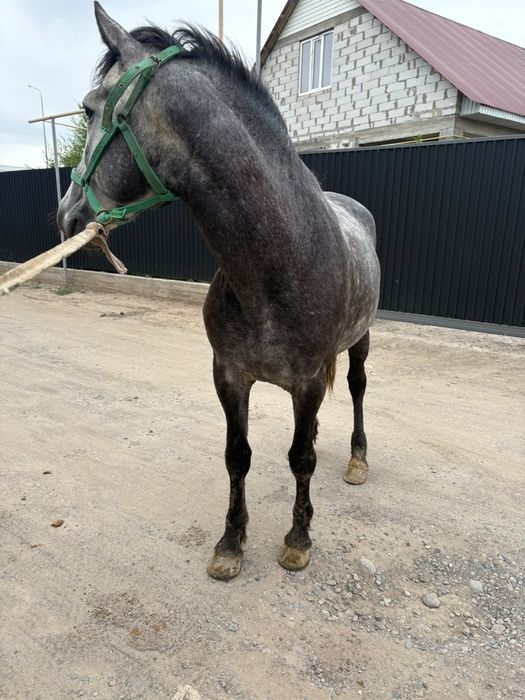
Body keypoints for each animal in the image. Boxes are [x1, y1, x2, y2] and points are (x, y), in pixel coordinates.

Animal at [57, 3, 380, 581]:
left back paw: (358, 458)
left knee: (359, 389)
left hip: (361, 341)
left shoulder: (307, 383)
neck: (277, 267)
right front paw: (231, 542)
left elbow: (300, 459)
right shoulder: (229, 375)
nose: (66, 214)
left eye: (90, 109)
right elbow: (238, 455)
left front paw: (298, 539)